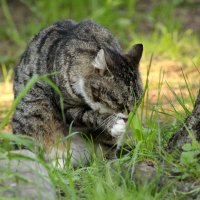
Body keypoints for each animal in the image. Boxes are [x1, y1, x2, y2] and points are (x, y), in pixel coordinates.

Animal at [12, 19, 143, 167]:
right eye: (117, 102)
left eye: (137, 103)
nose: (127, 118)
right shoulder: (67, 107)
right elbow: (89, 115)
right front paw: (112, 123)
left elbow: (107, 143)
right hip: (36, 106)